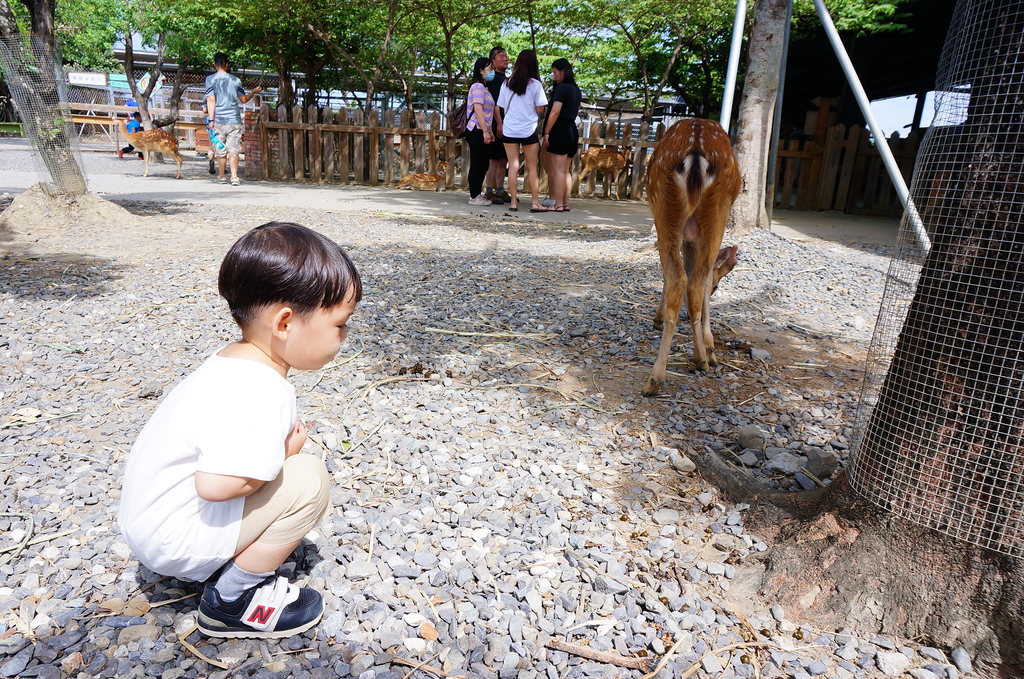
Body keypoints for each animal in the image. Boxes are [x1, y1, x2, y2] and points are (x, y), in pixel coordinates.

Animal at [643, 119, 741, 399]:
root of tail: (696, 153)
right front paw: (710, 347)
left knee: (682, 278)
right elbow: (702, 276)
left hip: (665, 208)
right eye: (719, 288)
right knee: (694, 280)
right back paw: (697, 361)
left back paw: (659, 377)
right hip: (716, 212)